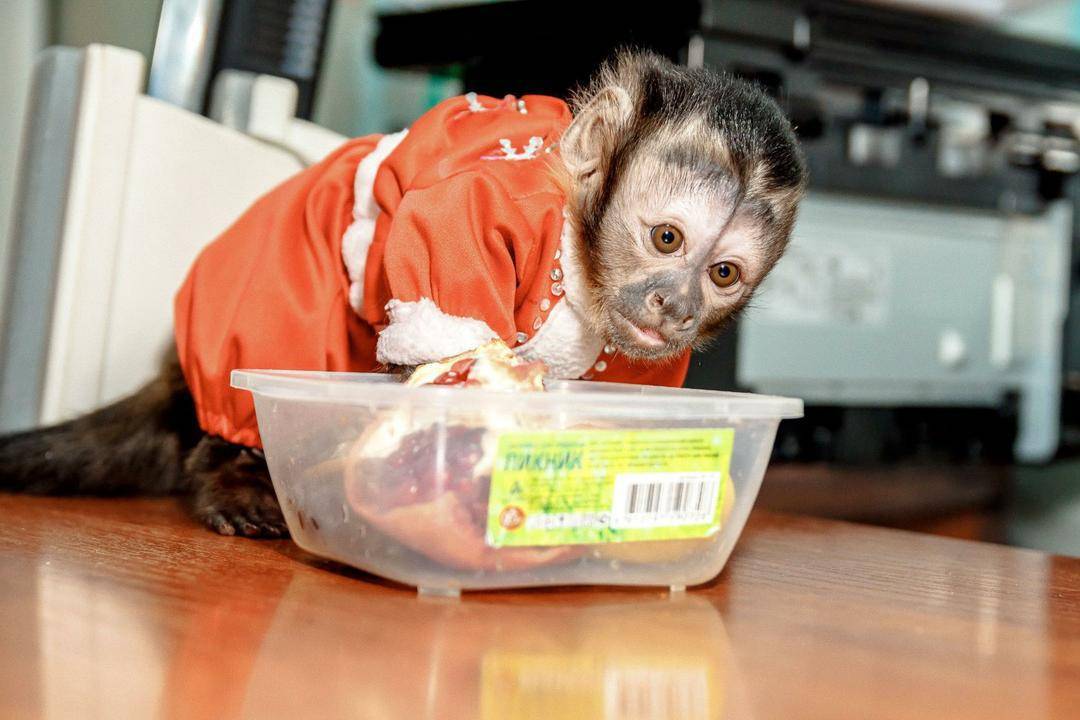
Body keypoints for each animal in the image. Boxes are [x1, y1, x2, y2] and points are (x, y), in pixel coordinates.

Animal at [0, 48, 806, 538]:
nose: (679, 307)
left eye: (723, 274)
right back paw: (234, 470)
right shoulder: (485, 210)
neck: (577, 259)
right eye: (667, 238)